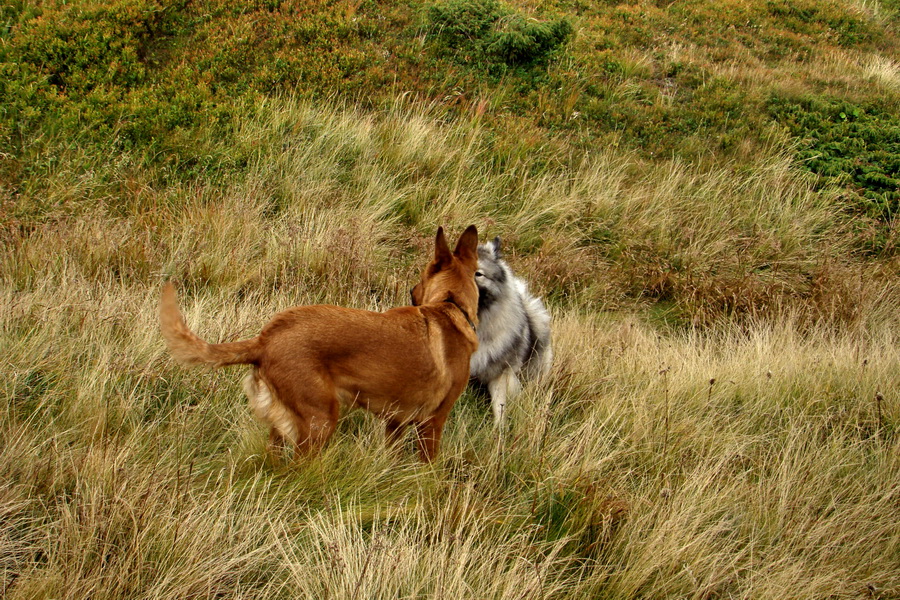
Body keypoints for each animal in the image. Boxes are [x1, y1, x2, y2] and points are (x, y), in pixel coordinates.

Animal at [158, 225, 478, 460]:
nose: (411, 292)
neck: (450, 305)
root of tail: (264, 339)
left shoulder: (395, 421)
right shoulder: (432, 422)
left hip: (284, 426)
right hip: (320, 421)